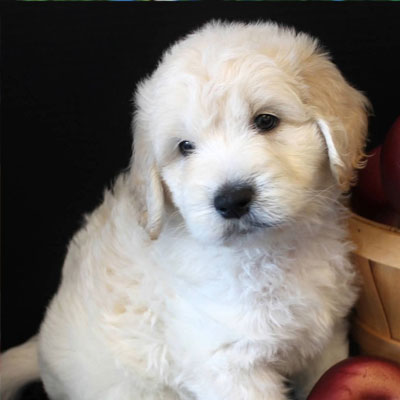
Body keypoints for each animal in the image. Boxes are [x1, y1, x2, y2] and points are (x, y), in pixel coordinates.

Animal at [1, 21, 368, 400]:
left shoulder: (326, 338)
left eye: (266, 121)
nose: (232, 200)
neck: (269, 251)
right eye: (185, 147)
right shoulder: (229, 366)